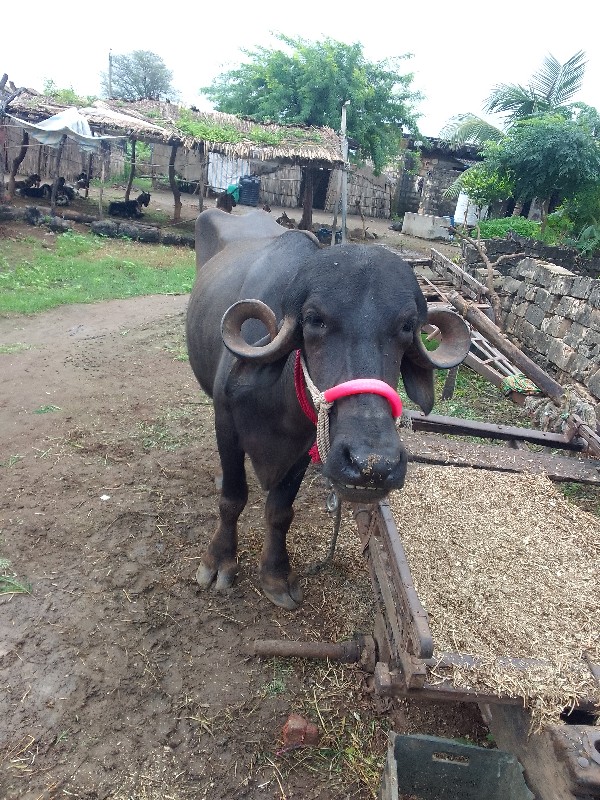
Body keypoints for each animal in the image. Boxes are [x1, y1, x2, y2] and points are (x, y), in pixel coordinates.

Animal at [186, 209, 468, 608]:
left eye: (406, 325)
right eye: (315, 320)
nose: (374, 466)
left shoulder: (306, 444)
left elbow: (279, 510)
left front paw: (276, 575)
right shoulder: (226, 423)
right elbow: (232, 498)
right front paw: (219, 561)